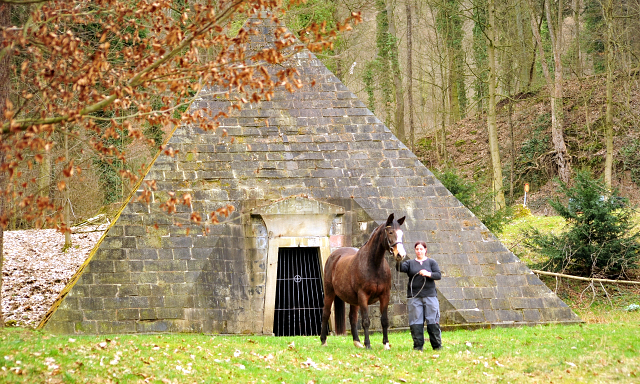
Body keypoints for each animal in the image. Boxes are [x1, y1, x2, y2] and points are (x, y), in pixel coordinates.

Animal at [318, 214, 404, 350]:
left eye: (401, 233)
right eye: (390, 232)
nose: (400, 254)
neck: (374, 265)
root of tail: (334, 255)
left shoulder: (385, 295)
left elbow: (384, 321)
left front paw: (386, 344)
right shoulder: (363, 296)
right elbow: (366, 321)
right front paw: (368, 344)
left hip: (353, 300)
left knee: (352, 317)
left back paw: (357, 342)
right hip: (329, 293)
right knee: (326, 313)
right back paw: (323, 341)